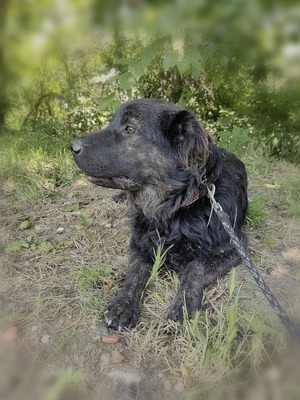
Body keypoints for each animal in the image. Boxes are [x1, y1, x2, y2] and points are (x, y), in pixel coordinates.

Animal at [71, 98, 248, 330]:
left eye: (130, 129)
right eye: (112, 123)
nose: (72, 147)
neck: (175, 206)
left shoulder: (235, 246)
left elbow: (195, 268)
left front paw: (183, 307)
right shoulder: (140, 241)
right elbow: (136, 271)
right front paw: (123, 304)